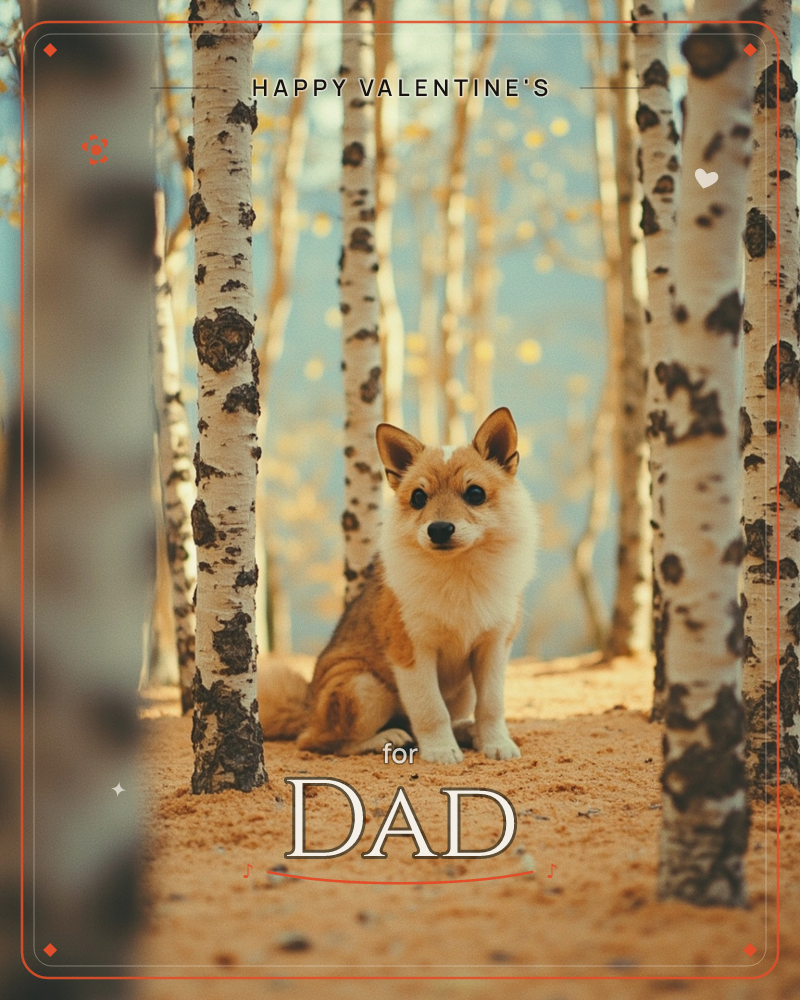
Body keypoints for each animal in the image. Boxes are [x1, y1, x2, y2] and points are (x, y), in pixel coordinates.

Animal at [259, 406, 537, 764]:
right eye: (418, 497)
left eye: (475, 493)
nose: (439, 529)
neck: (457, 573)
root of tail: (307, 709)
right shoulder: (412, 651)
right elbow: (430, 709)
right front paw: (441, 751)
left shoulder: (493, 646)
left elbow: (491, 705)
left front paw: (496, 743)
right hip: (365, 687)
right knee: (319, 741)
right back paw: (388, 738)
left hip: (461, 689)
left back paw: (467, 732)